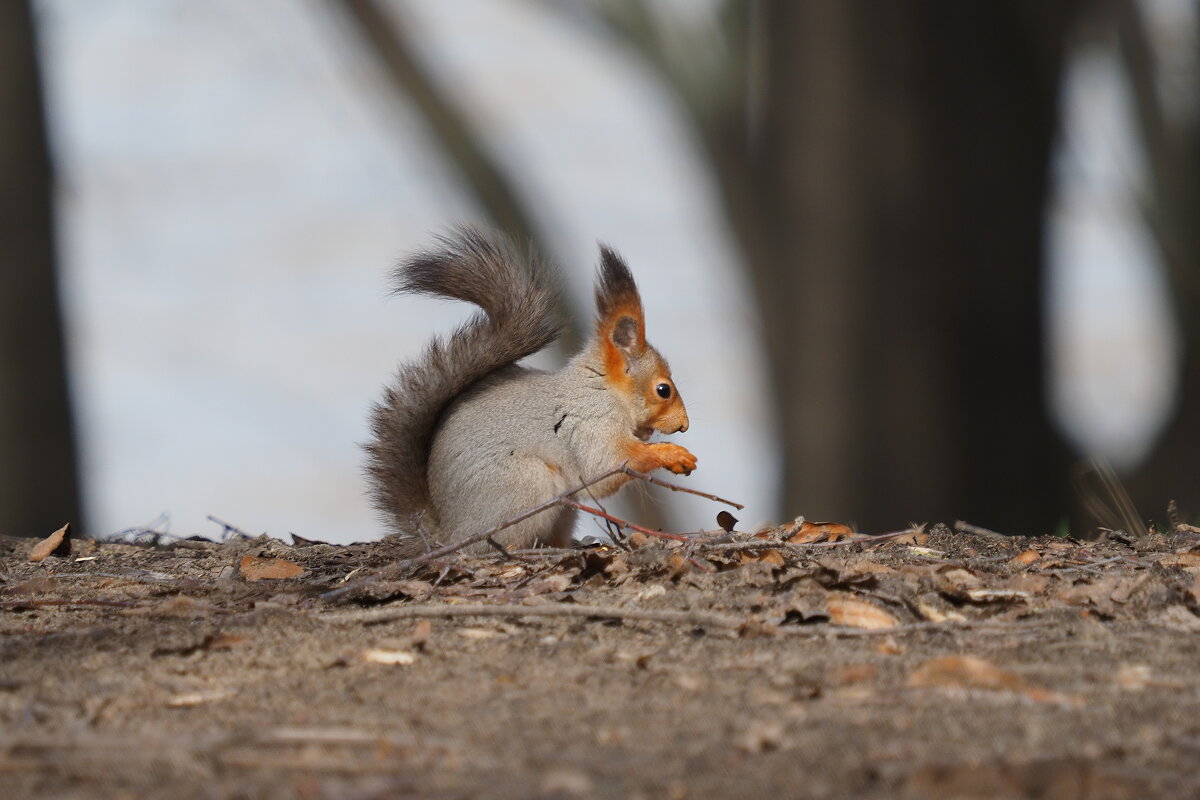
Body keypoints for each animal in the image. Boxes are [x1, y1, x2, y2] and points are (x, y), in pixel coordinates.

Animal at [362, 227, 696, 554]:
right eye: (663, 390)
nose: (683, 426)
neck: (601, 388)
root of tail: (450, 533)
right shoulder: (588, 423)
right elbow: (607, 465)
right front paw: (671, 453)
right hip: (526, 484)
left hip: (561, 507)